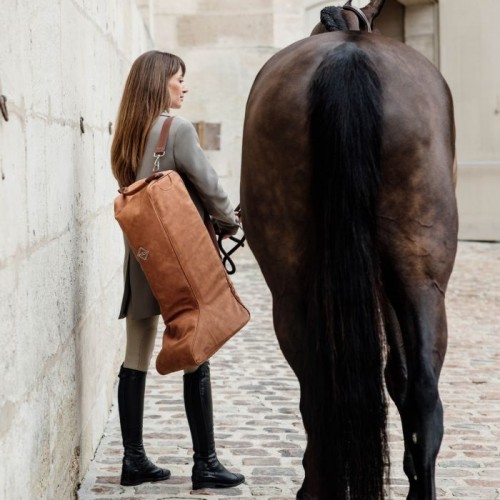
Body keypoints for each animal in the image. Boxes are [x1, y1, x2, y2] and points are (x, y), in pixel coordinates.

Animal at [241, 1, 458, 498]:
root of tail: (349, 58)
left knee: (325, 392)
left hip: (296, 293)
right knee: (423, 392)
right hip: (420, 279)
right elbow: (399, 374)